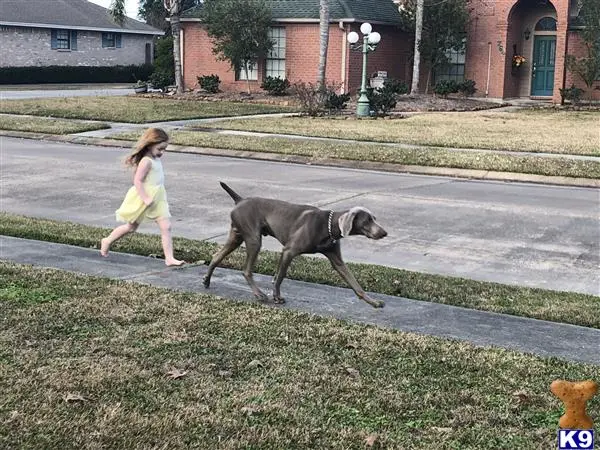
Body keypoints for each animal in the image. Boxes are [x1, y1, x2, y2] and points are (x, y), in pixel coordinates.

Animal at [203, 181, 390, 308]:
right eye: (367, 220)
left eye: (374, 219)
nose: (384, 233)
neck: (329, 226)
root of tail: (240, 200)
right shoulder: (289, 251)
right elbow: (280, 276)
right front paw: (277, 297)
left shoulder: (337, 261)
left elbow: (355, 284)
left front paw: (373, 302)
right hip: (253, 239)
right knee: (246, 270)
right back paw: (259, 294)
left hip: (236, 236)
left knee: (216, 256)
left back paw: (206, 280)